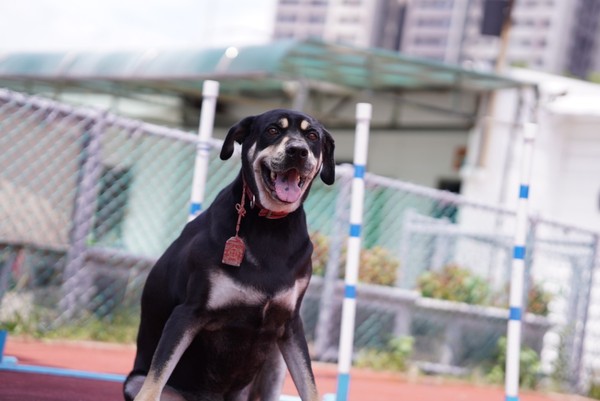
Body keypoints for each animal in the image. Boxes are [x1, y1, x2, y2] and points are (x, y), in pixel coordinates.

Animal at [124, 109, 336, 400]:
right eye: (272, 130)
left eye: (312, 135)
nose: (297, 151)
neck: (270, 225)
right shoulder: (187, 313)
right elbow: (154, 382)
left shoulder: (290, 325)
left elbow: (310, 385)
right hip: (137, 381)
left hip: (274, 361)